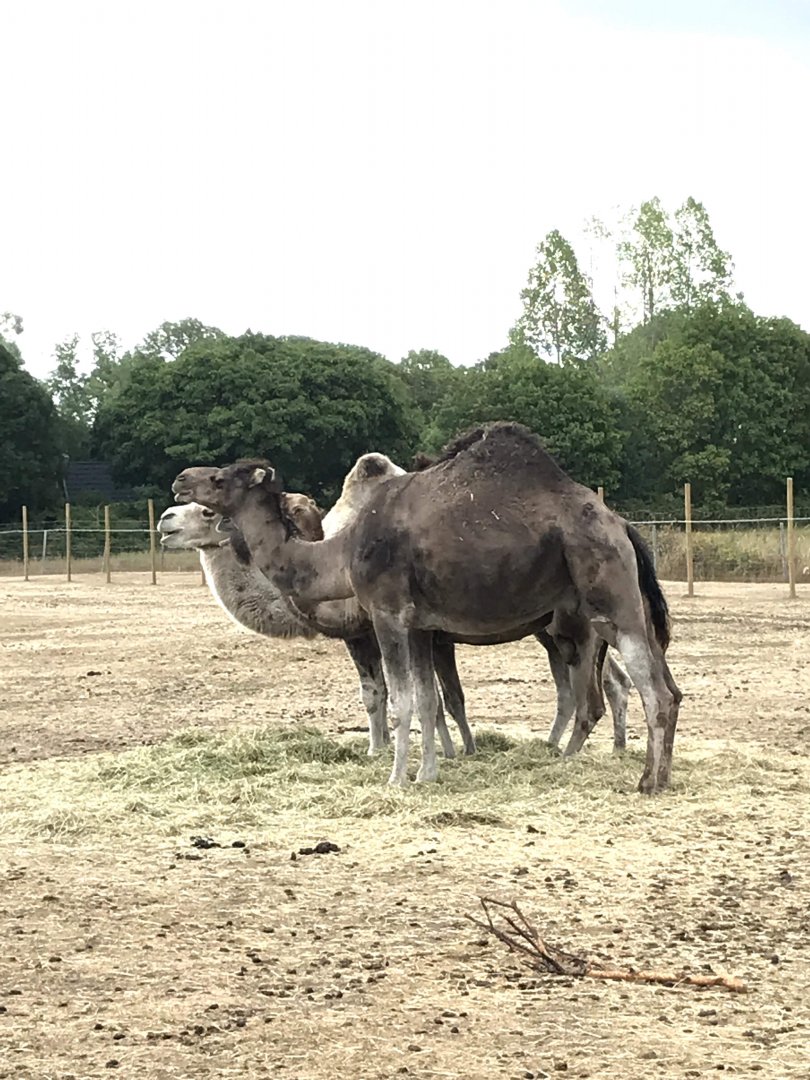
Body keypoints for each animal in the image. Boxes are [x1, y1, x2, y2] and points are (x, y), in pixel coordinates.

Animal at [172, 422, 681, 793]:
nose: (179, 481)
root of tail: (622, 526)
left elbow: (402, 701)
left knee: (649, 689)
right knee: (657, 688)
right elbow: (428, 700)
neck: (341, 550)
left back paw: (646, 781)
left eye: (218, 479)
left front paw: (397, 778)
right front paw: (428, 773)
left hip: (607, 594)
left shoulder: (387, 614)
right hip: (600, 611)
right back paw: (630, 768)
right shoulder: (421, 626)